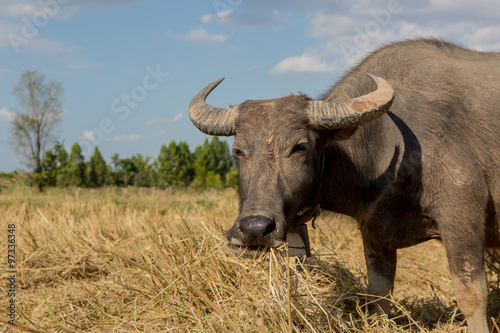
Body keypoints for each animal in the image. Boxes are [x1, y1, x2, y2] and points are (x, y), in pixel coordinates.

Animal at [188, 38, 500, 330]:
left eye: (300, 147)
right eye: (238, 151)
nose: (255, 229)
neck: (391, 146)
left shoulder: (461, 217)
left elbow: (471, 295)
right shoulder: (374, 232)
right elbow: (378, 295)